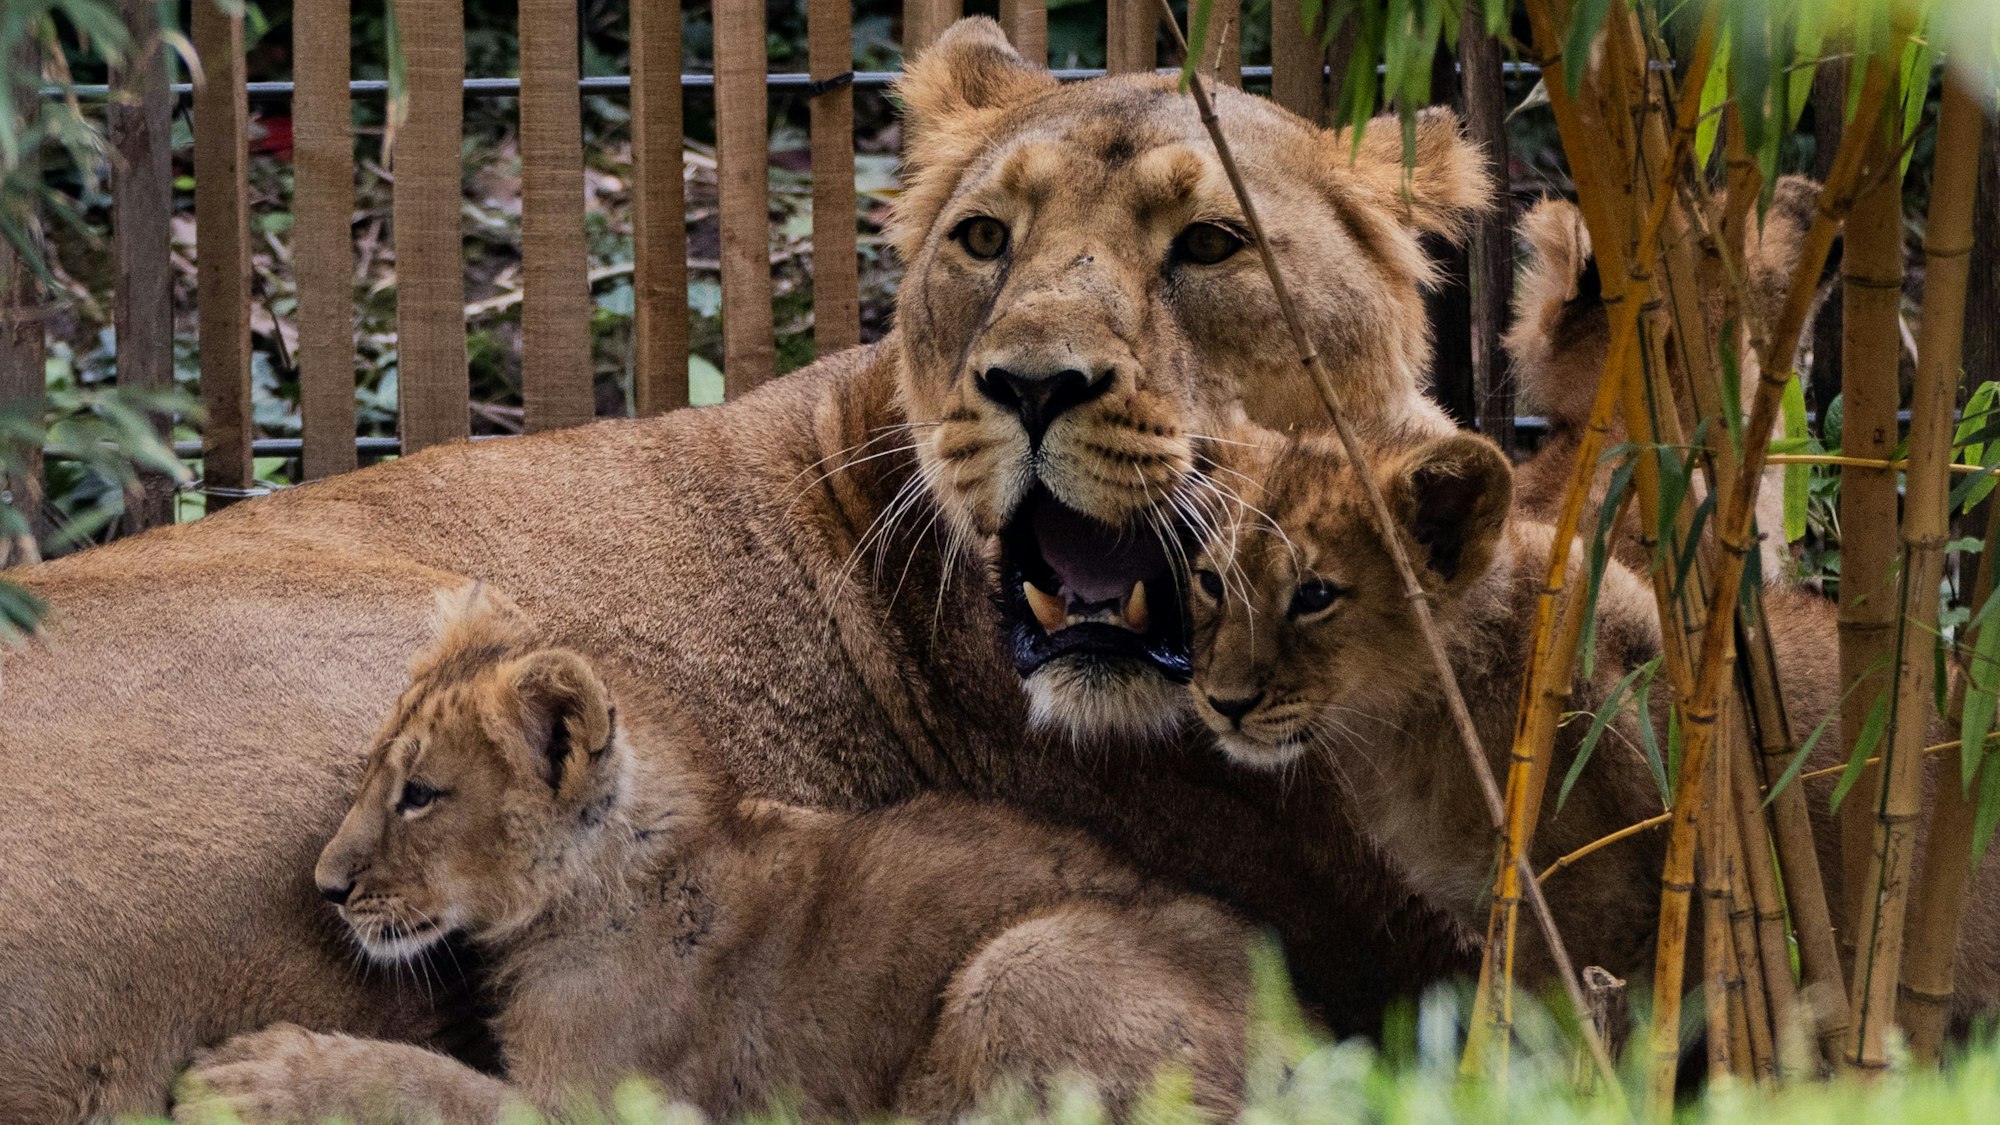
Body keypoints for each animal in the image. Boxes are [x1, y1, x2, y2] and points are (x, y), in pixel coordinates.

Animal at [172, 585, 1253, 1124]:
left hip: (1022, 962)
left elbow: (429, 1086)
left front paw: (256, 1077)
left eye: (421, 794)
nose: (325, 886)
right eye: (372, 775)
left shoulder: (615, 1114)